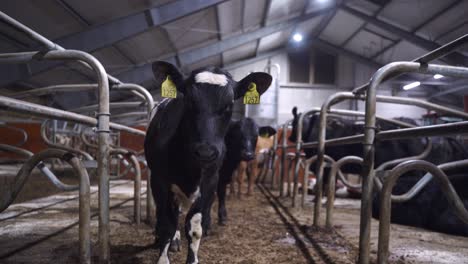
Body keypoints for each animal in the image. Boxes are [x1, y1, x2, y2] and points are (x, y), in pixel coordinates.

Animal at [144, 60, 272, 264]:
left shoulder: (210, 180)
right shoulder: (159, 180)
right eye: (188, 100)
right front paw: (163, 255)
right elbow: (166, 225)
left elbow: (195, 227)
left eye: (229, 105)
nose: (206, 152)